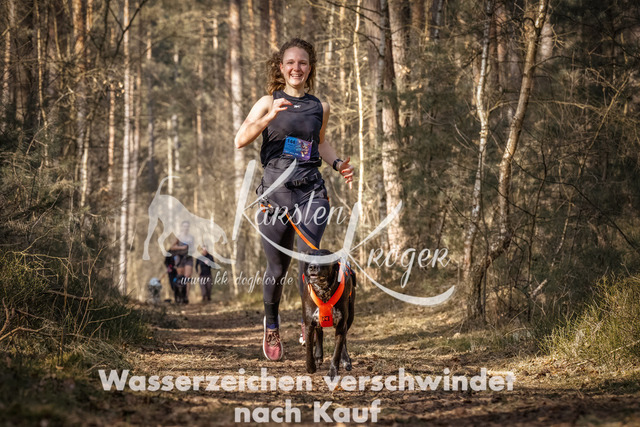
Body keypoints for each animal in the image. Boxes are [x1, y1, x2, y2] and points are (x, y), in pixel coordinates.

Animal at [302, 249, 356, 379]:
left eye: (324, 259)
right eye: (308, 258)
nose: (312, 266)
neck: (323, 291)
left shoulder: (341, 324)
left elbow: (337, 351)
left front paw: (332, 372)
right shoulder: (309, 324)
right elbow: (309, 348)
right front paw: (311, 367)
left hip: (350, 317)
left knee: (343, 340)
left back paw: (345, 360)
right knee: (319, 331)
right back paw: (318, 356)